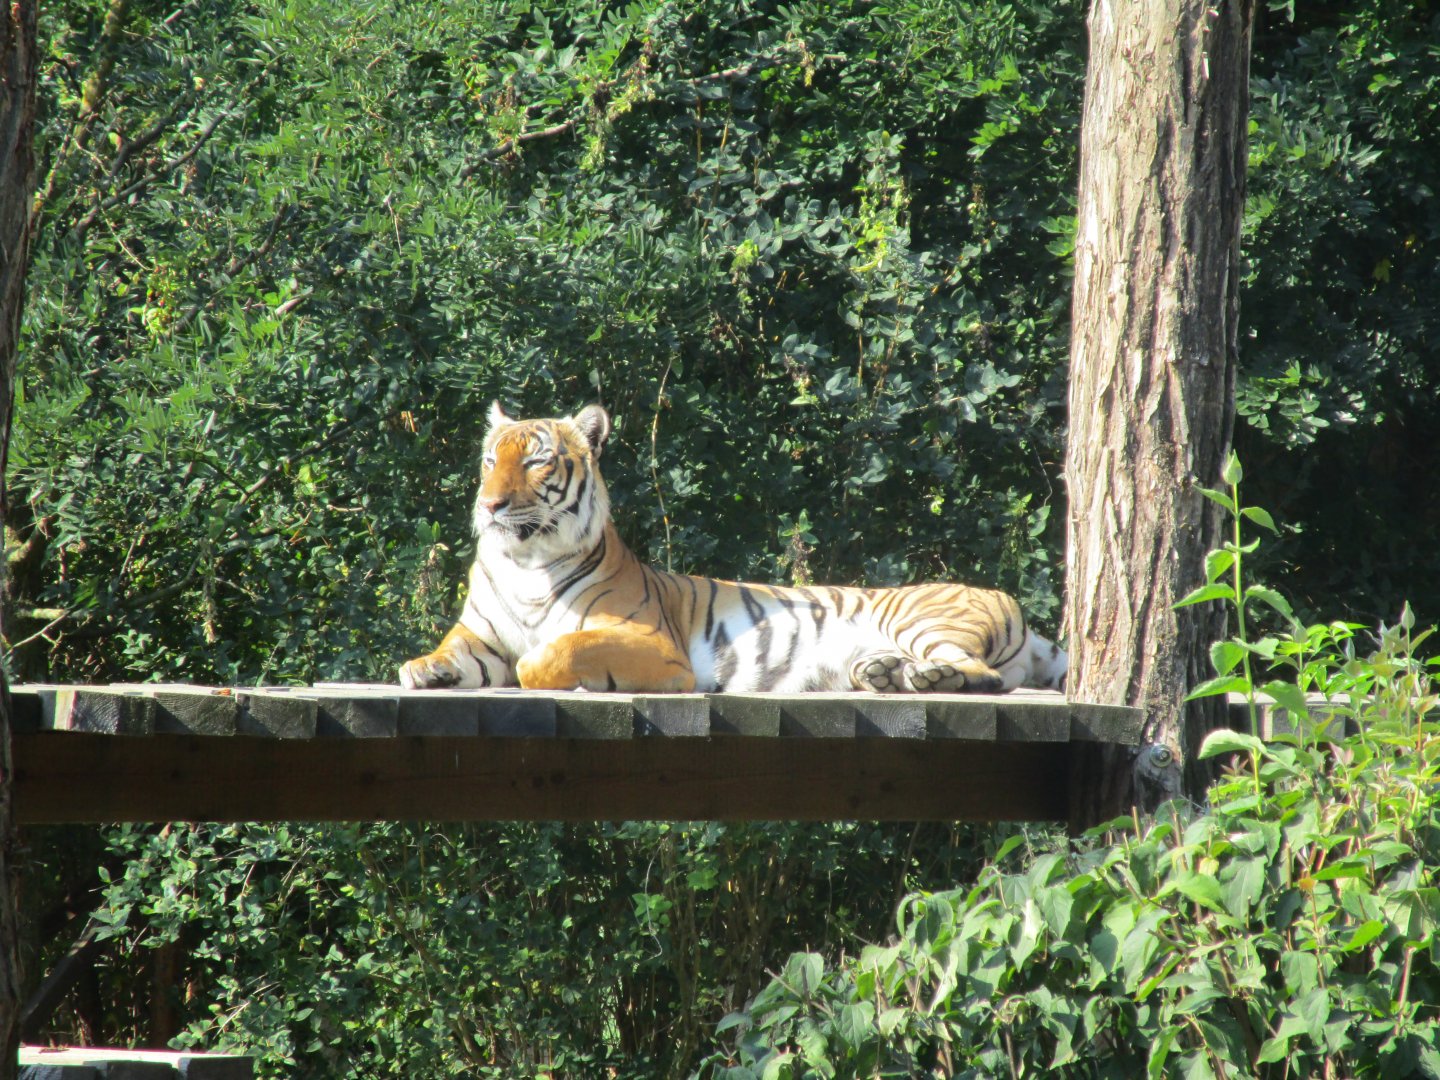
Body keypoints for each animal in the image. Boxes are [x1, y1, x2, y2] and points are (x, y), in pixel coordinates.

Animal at [398, 403, 1067, 695]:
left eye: (535, 460)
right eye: (491, 461)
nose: (490, 505)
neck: (526, 565)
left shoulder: (653, 644)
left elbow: (551, 653)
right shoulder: (481, 635)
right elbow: (454, 653)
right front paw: (424, 668)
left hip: (925, 618)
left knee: (984, 676)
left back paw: (926, 678)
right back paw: (885, 673)